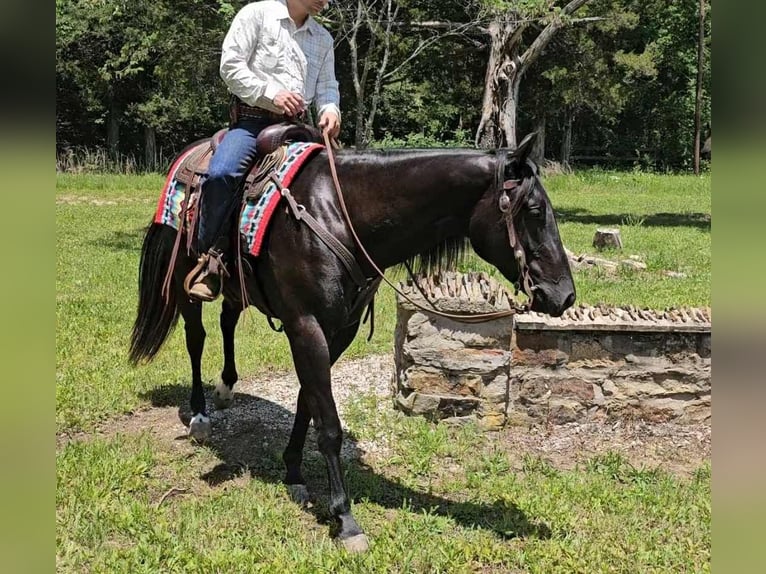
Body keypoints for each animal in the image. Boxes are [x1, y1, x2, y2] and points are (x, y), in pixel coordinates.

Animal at [130, 134, 576, 552]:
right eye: (534, 212)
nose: (565, 295)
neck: (341, 216)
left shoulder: (338, 330)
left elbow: (307, 401)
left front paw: (293, 472)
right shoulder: (306, 326)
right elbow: (328, 422)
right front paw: (344, 518)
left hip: (237, 289)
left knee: (227, 321)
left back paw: (225, 389)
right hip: (184, 281)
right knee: (196, 338)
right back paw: (200, 416)